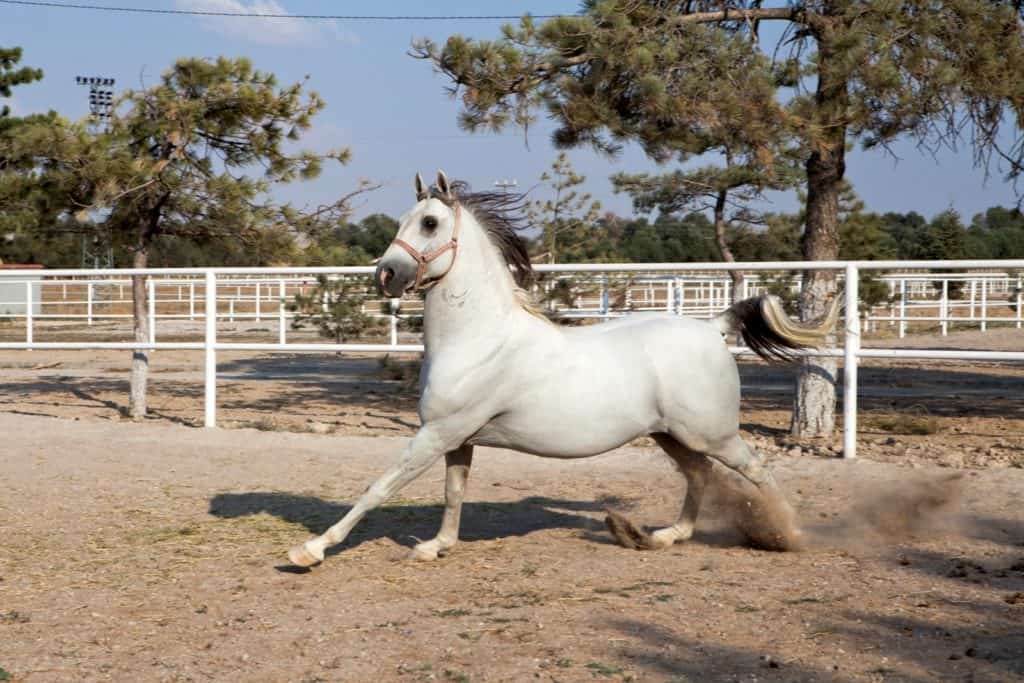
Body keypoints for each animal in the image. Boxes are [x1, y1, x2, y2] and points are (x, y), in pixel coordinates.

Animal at [287, 170, 839, 567]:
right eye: (405, 218)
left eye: (429, 223)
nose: (386, 274)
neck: (479, 340)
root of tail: (713, 328)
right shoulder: (458, 439)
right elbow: (453, 492)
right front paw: (436, 546)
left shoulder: (437, 433)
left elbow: (379, 487)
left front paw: (310, 550)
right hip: (671, 434)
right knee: (699, 475)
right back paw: (661, 536)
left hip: (712, 432)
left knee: (756, 470)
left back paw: (787, 535)